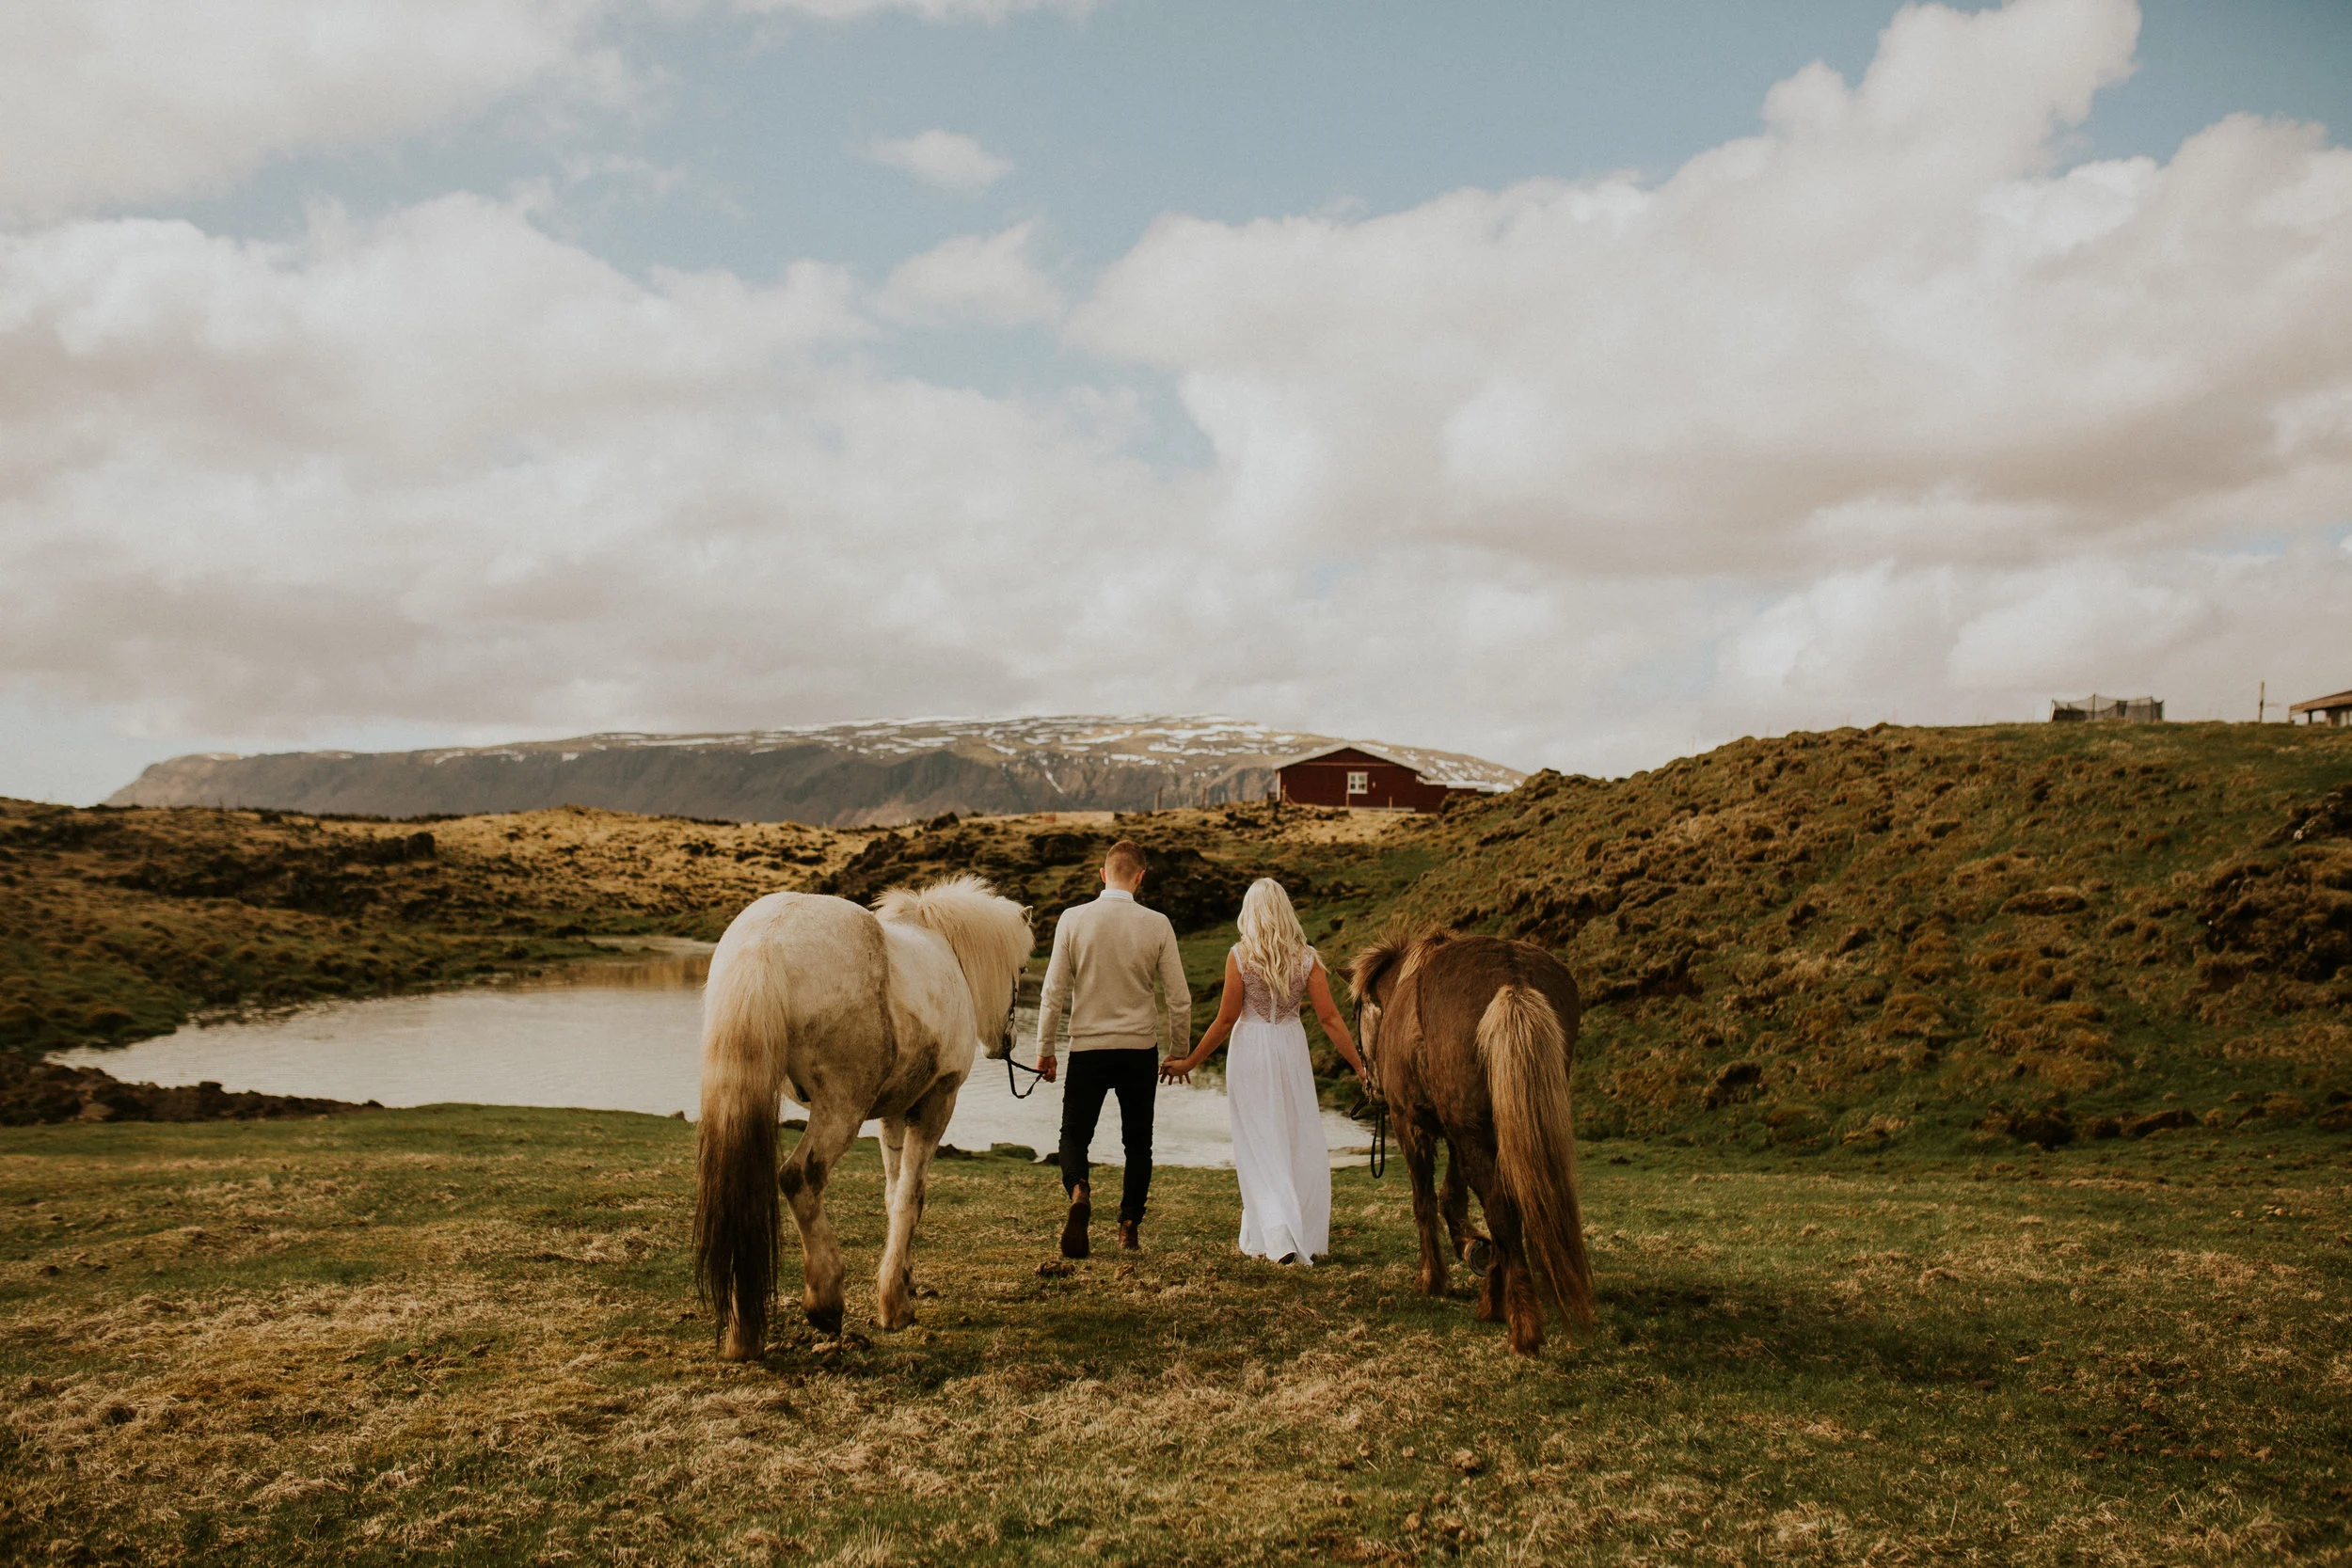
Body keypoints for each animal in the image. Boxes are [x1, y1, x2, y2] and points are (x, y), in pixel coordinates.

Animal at [693, 874, 1031, 1361]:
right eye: (1022, 971)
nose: (1007, 1042)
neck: (944, 947)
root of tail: (765, 944)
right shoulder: (935, 1104)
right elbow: (911, 1197)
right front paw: (895, 1305)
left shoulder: (892, 1115)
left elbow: (893, 1196)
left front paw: (904, 1281)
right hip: (841, 1108)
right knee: (799, 1178)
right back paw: (825, 1302)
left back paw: (744, 1335)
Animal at [1348, 929, 1594, 1355]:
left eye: (1358, 1016)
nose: (1369, 1087)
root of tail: (1512, 977)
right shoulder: (1456, 1131)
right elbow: (1453, 1194)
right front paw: (1471, 1245)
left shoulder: (1410, 1123)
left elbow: (1425, 1201)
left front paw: (1432, 1278)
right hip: (1495, 1127)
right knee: (1511, 1204)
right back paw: (1496, 1299)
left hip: (1472, 1132)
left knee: (1502, 1208)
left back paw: (1522, 1325)